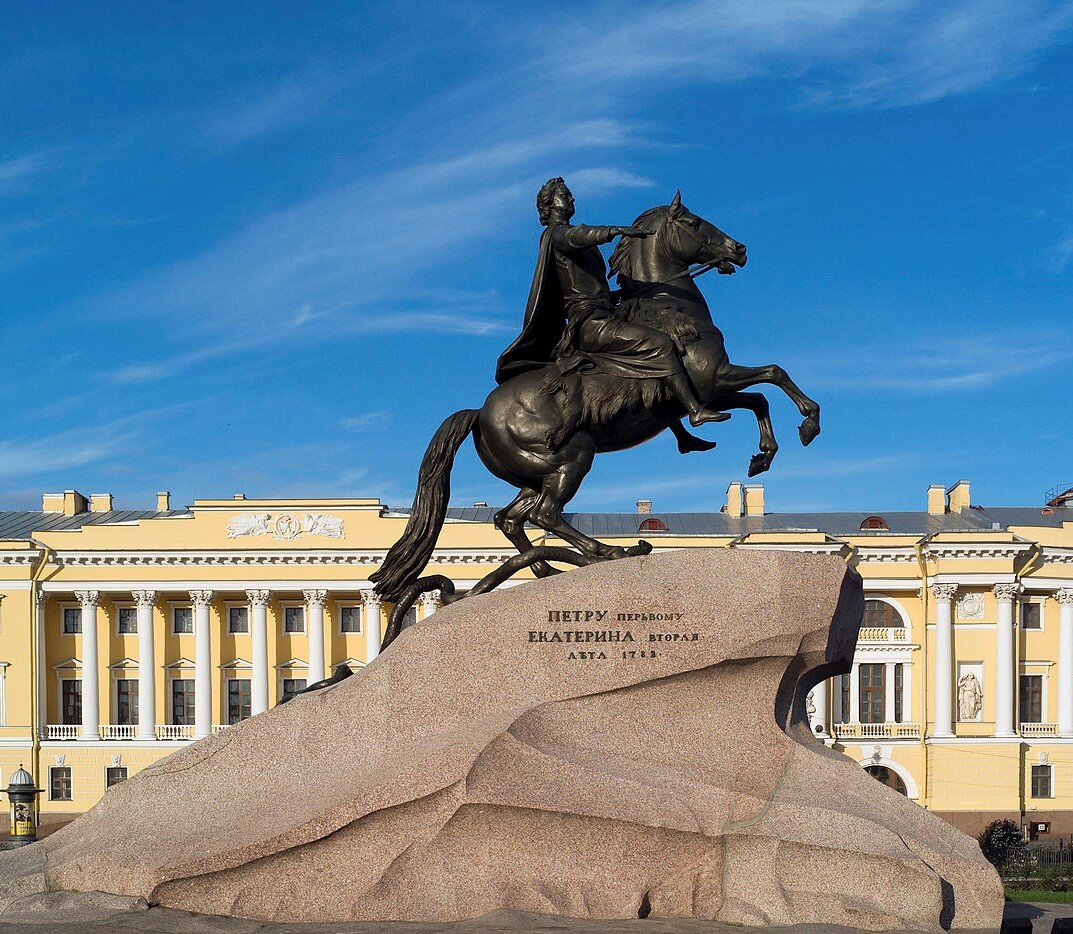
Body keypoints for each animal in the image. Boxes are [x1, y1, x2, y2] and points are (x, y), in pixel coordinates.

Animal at [371, 196, 819, 605]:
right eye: (694, 222)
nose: (738, 249)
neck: (668, 308)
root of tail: (480, 412)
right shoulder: (712, 381)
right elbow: (774, 375)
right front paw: (808, 424)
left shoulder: (713, 387)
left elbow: (759, 399)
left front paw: (763, 456)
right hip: (572, 457)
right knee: (543, 515)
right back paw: (606, 550)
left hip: (535, 473)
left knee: (511, 519)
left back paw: (547, 568)